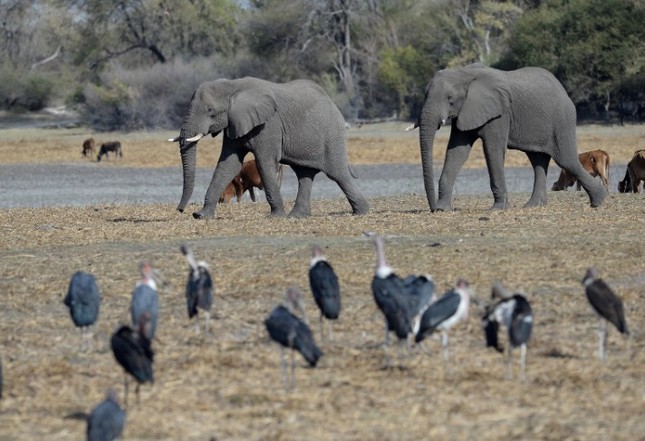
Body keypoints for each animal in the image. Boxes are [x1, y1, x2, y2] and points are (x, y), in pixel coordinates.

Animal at [167, 78, 368, 220]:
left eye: (210, 111)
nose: (180, 210)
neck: (232, 85)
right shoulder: (234, 123)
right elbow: (228, 164)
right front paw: (202, 216)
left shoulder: (268, 125)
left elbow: (264, 162)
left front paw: (275, 216)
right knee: (304, 175)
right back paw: (297, 216)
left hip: (332, 135)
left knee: (338, 174)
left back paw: (361, 212)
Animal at [416, 63, 608, 211]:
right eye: (424, 95)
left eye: (450, 99)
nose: (432, 207)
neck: (464, 73)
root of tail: (564, 91)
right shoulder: (466, 111)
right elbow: (457, 151)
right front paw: (443, 209)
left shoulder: (499, 113)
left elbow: (492, 150)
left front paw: (497, 209)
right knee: (538, 160)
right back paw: (533, 205)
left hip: (562, 120)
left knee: (566, 160)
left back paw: (599, 201)